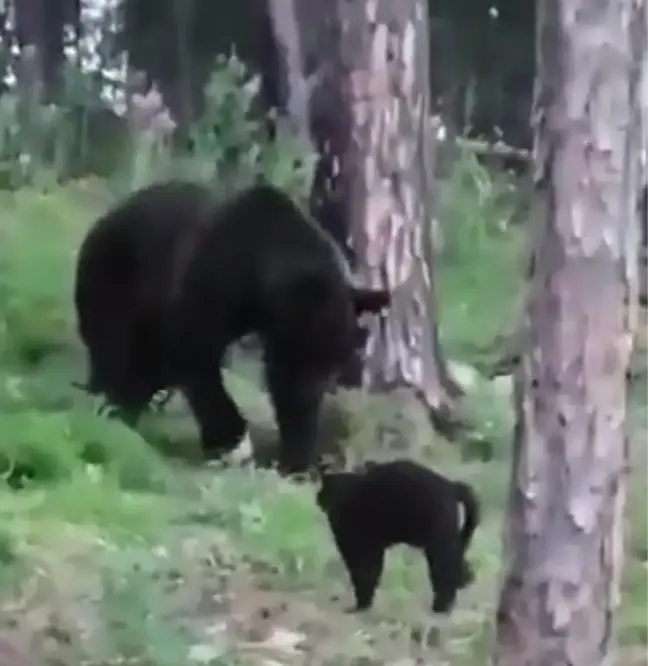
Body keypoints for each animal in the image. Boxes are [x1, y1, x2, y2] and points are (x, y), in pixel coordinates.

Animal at [76, 182, 390, 472]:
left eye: (337, 360)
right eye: (309, 354)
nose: (313, 391)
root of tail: (107, 217)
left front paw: (297, 456)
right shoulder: (214, 278)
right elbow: (194, 351)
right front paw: (232, 441)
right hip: (115, 275)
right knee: (115, 346)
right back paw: (112, 404)